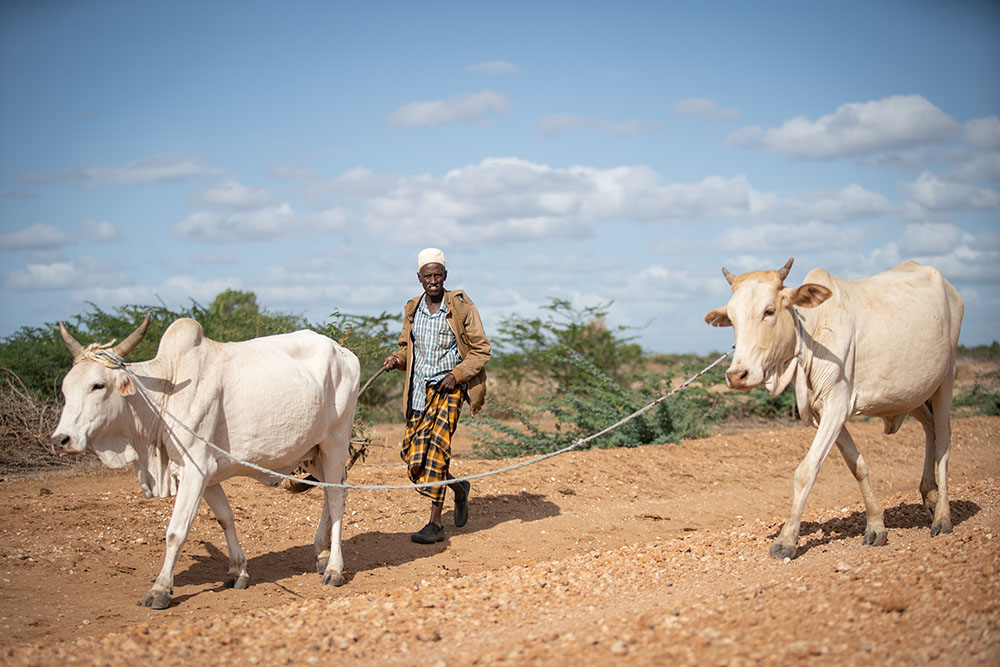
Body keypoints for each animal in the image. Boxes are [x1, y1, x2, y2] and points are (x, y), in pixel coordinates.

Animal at [50, 316, 362, 608]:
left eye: (98, 385)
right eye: (66, 389)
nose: (61, 440)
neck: (164, 392)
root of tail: (343, 352)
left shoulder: (195, 469)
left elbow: (176, 532)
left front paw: (160, 589)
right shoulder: (205, 474)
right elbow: (225, 517)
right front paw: (238, 571)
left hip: (334, 441)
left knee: (336, 497)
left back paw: (334, 568)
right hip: (312, 450)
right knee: (334, 489)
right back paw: (320, 553)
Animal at [708, 258, 964, 560]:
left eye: (769, 311)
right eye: (732, 318)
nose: (737, 375)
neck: (813, 332)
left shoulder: (836, 404)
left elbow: (806, 470)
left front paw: (786, 540)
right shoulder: (825, 413)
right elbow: (858, 465)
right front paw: (875, 526)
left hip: (946, 378)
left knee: (944, 440)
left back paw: (943, 517)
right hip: (913, 392)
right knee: (930, 429)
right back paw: (930, 495)